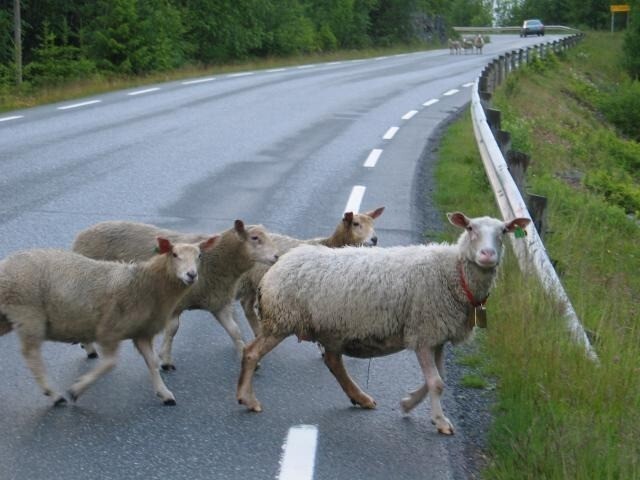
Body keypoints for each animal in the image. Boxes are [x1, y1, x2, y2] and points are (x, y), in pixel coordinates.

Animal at [0, 236, 218, 404]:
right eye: (174, 254)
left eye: (199, 256)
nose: (191, 275)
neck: (145, 284)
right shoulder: (109, 329)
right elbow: (110, 363)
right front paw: (76, 390)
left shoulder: (142, 332)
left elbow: (152, 362)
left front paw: (164, 393)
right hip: (28, 313)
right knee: (31, 355)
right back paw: (54, 394)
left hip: (9, 316)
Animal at [72, 219, 278, 370]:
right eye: (254, 238)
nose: (276, 256)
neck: (217, 261)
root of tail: (81, 235)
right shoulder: (175, 304)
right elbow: (172, 330)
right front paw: (165, 360)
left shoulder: (218, 302)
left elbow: (234, 330)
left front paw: (248, 358)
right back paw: (89, 349)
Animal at [236, 206, 382, 338]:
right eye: (355, 224)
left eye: (372, 223)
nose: (374, 239)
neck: (330, 243)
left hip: (252, 283)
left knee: (246, 305)